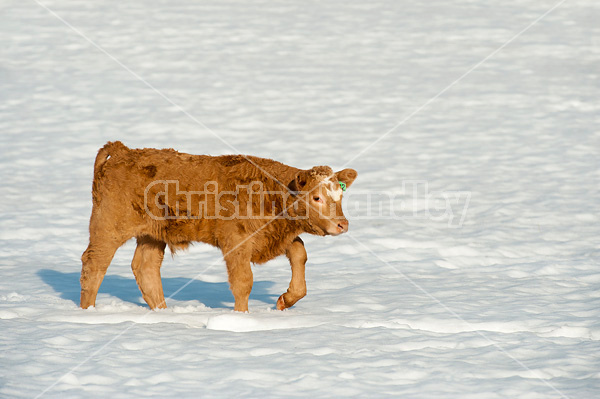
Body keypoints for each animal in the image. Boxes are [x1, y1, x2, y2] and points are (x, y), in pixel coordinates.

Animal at [82, 142, 358, 314]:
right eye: (316, 197)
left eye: (340, 195)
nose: (342, 224)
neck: (270, 191)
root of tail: (123, 151)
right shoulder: (236, 243)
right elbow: (243, 281)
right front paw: (241, 318)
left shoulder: (277, 236)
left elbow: (300, 254)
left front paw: (284, 301)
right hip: (108, 227)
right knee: (94, 264)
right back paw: (88, 312)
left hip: (152, 235)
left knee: (145, 267)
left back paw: (164, 313)